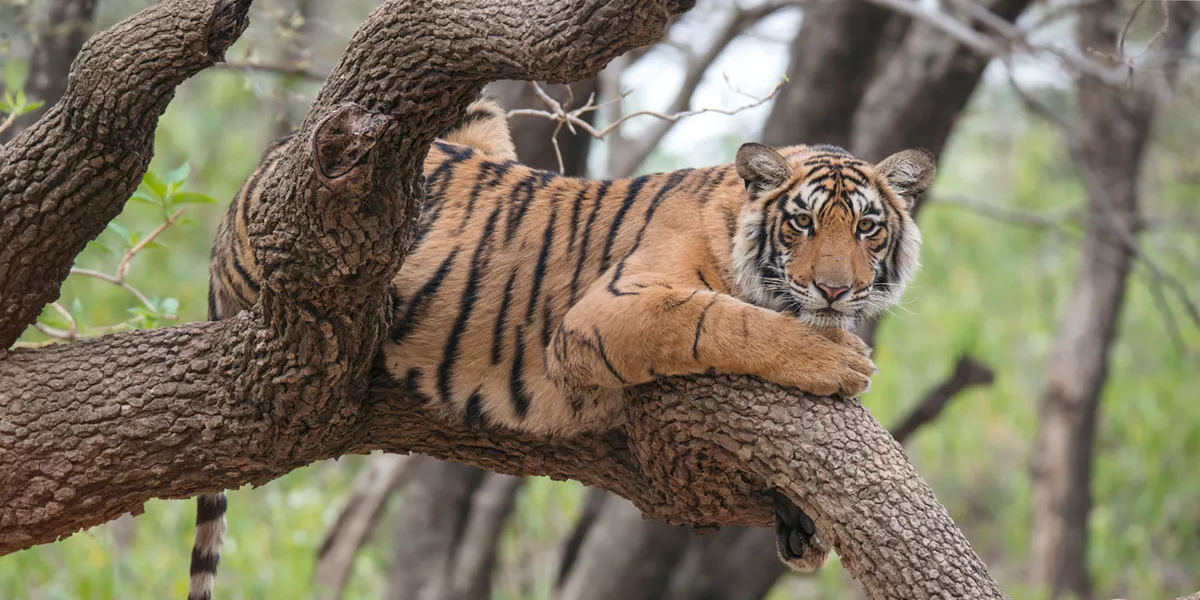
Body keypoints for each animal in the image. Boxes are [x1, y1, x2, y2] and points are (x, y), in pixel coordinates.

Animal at [195, 96, 934, 600]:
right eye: (802, 222)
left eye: (867, 228)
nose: (835, 290)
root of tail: (255, 177)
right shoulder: (607, 312)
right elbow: (723, 319)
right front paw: (838, 360)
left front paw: (802, 524)